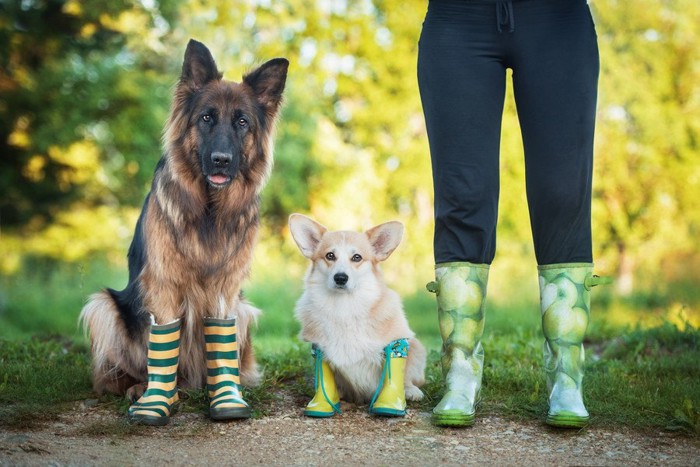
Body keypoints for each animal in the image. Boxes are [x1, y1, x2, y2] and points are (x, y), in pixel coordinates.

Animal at [80, 39, 288, 398]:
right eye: (206, 118)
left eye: (242, 122)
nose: (221, 160)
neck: (209, 211)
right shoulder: (163, 285)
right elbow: (164, 343)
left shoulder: (225, 290)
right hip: (103, 306)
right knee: (114, 374)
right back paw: (138, 386)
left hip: (243, 310)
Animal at [288, 214, 424, 412]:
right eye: (330, 255)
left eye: (357, 257)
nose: (340, 278)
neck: (344, 307)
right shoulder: (320, 349)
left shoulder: (396, 344)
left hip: (418, 348)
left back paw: (411, 391)